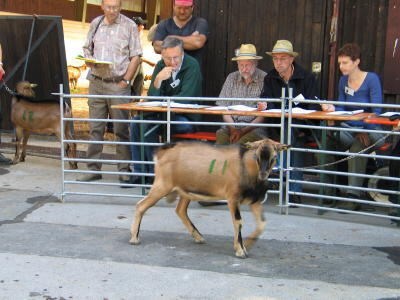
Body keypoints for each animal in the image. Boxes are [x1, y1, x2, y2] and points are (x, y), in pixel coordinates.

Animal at [130, 138, 290, 258]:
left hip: (186, 191)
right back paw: (134, 238)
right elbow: (238, 222)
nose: (263, 174)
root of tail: (163, 151)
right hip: (162, 186)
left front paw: (247, 245)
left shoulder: (255, 201)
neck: (245, 165)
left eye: (275, 157)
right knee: (141, 205)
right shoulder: (233, 198)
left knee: (180, 210)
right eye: (256, 155)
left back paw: (199, 237)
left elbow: (262, 224)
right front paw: (240, 250)